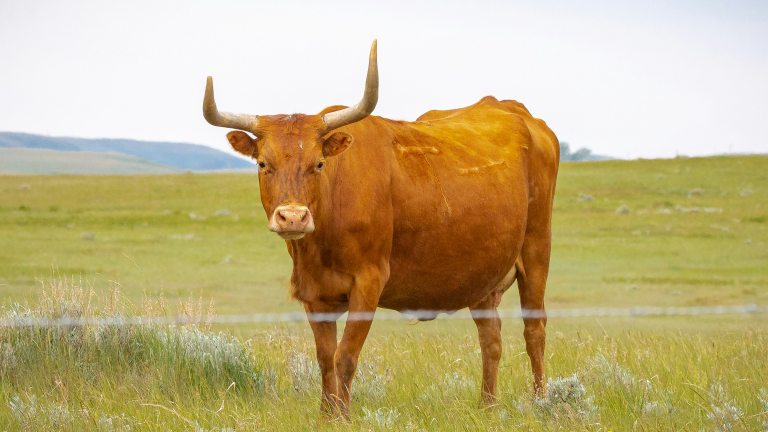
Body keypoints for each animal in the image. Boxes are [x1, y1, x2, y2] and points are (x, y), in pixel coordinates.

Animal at [203, 40, 559, 419]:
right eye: (262, 163)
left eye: (318, 163)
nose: (293, 217)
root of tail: (511, 109)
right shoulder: (313, 293)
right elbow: (324, 359)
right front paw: (326, 414)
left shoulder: (368, 282)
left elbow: (345, 357)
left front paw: (343, 417)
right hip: (482, 274)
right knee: (491, 338)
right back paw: (487, 406)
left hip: (537, 250)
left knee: (534, 330)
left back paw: (541, 401)